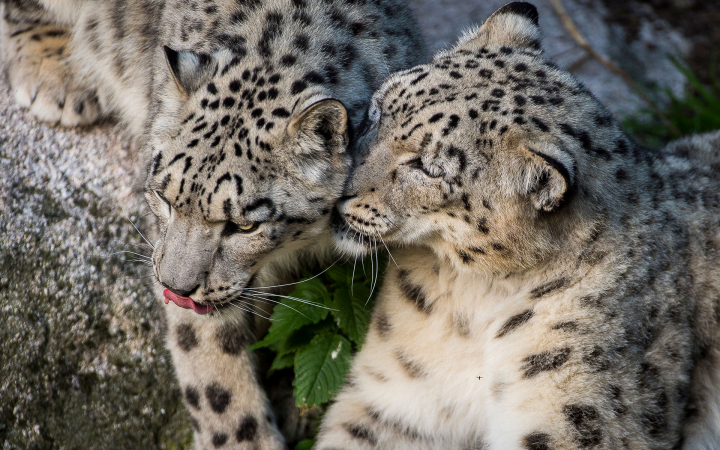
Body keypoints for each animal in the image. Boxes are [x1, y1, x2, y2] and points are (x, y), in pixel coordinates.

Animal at [0, 0, 424, 446]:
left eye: (245, 227)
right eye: (165, 199)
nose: (175, 287)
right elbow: (214, 372)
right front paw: (244, 436)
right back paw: (55, 71)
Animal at [322, 3, 720, 450]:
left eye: (428, 168)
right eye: (377, 111)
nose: (337, 191)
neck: (470, 303)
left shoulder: (579, 416)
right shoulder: (396, 399)